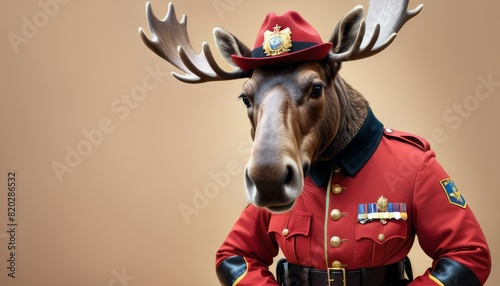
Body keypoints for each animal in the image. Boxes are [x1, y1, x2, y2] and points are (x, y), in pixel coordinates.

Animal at [139, 1, 490, 284]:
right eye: (245, 97)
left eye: (316, 87)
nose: (268, 178)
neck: (335, 162)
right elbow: (235, 253)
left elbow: (467, 252)